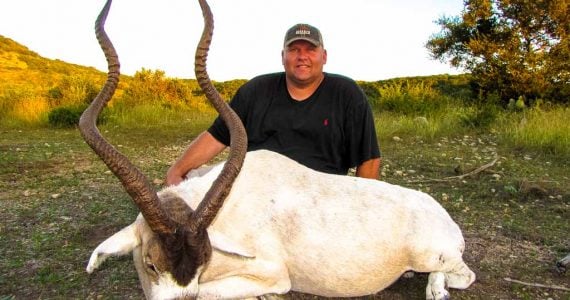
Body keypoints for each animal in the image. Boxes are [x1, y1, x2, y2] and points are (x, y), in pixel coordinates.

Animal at [80, 1, 472, 298]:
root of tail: (442, 215)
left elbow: (215, 291)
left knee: (461, 275)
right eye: (151, 263)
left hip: (433, 257)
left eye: (203, 261)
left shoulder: (272, 273)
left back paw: (435, 288)